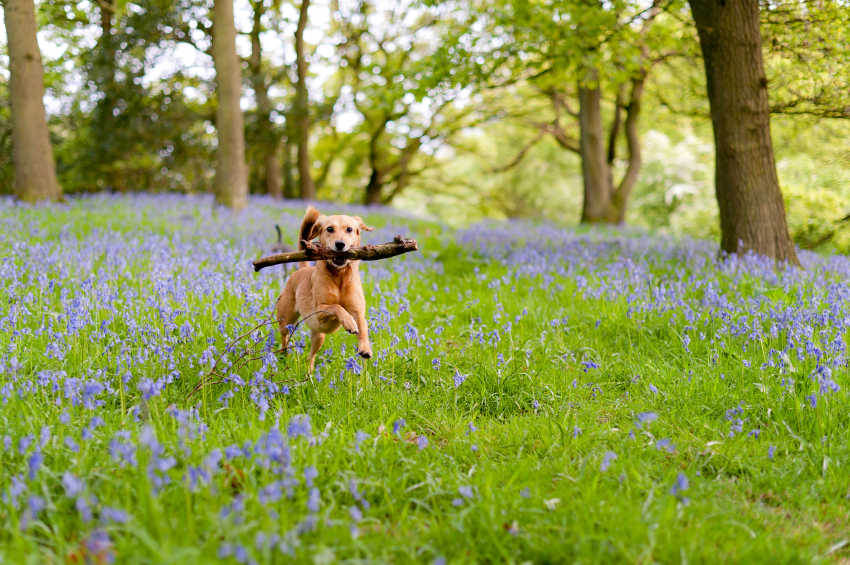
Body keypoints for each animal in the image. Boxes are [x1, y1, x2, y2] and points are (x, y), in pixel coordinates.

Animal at [276, 205, 372, 372]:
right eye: (329, 229)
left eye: (349, 229)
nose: (340, 244)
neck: (339, 275)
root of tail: (302, 269)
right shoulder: (320, 310)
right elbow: (336, 307)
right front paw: (348, 322)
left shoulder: (357, 310)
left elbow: (362, 325)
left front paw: (365, 348)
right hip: (286, 320)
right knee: (284, 337)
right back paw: (284, 355)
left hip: (318, 335)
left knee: (311, 356)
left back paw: (309, 371)